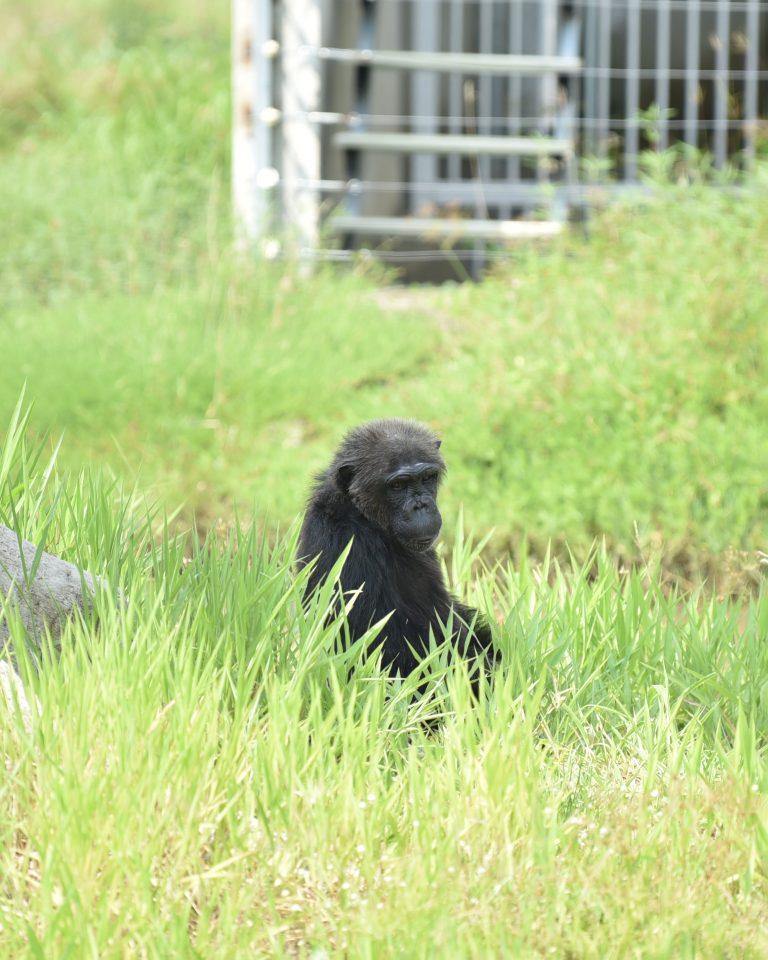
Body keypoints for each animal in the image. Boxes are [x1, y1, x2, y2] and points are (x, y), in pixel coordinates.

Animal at [296, 420, 496, 684]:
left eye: (427, 478)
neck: (365, 517)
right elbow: (390, 651)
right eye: (398, 485)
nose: (421, 504)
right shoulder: (348, 548)